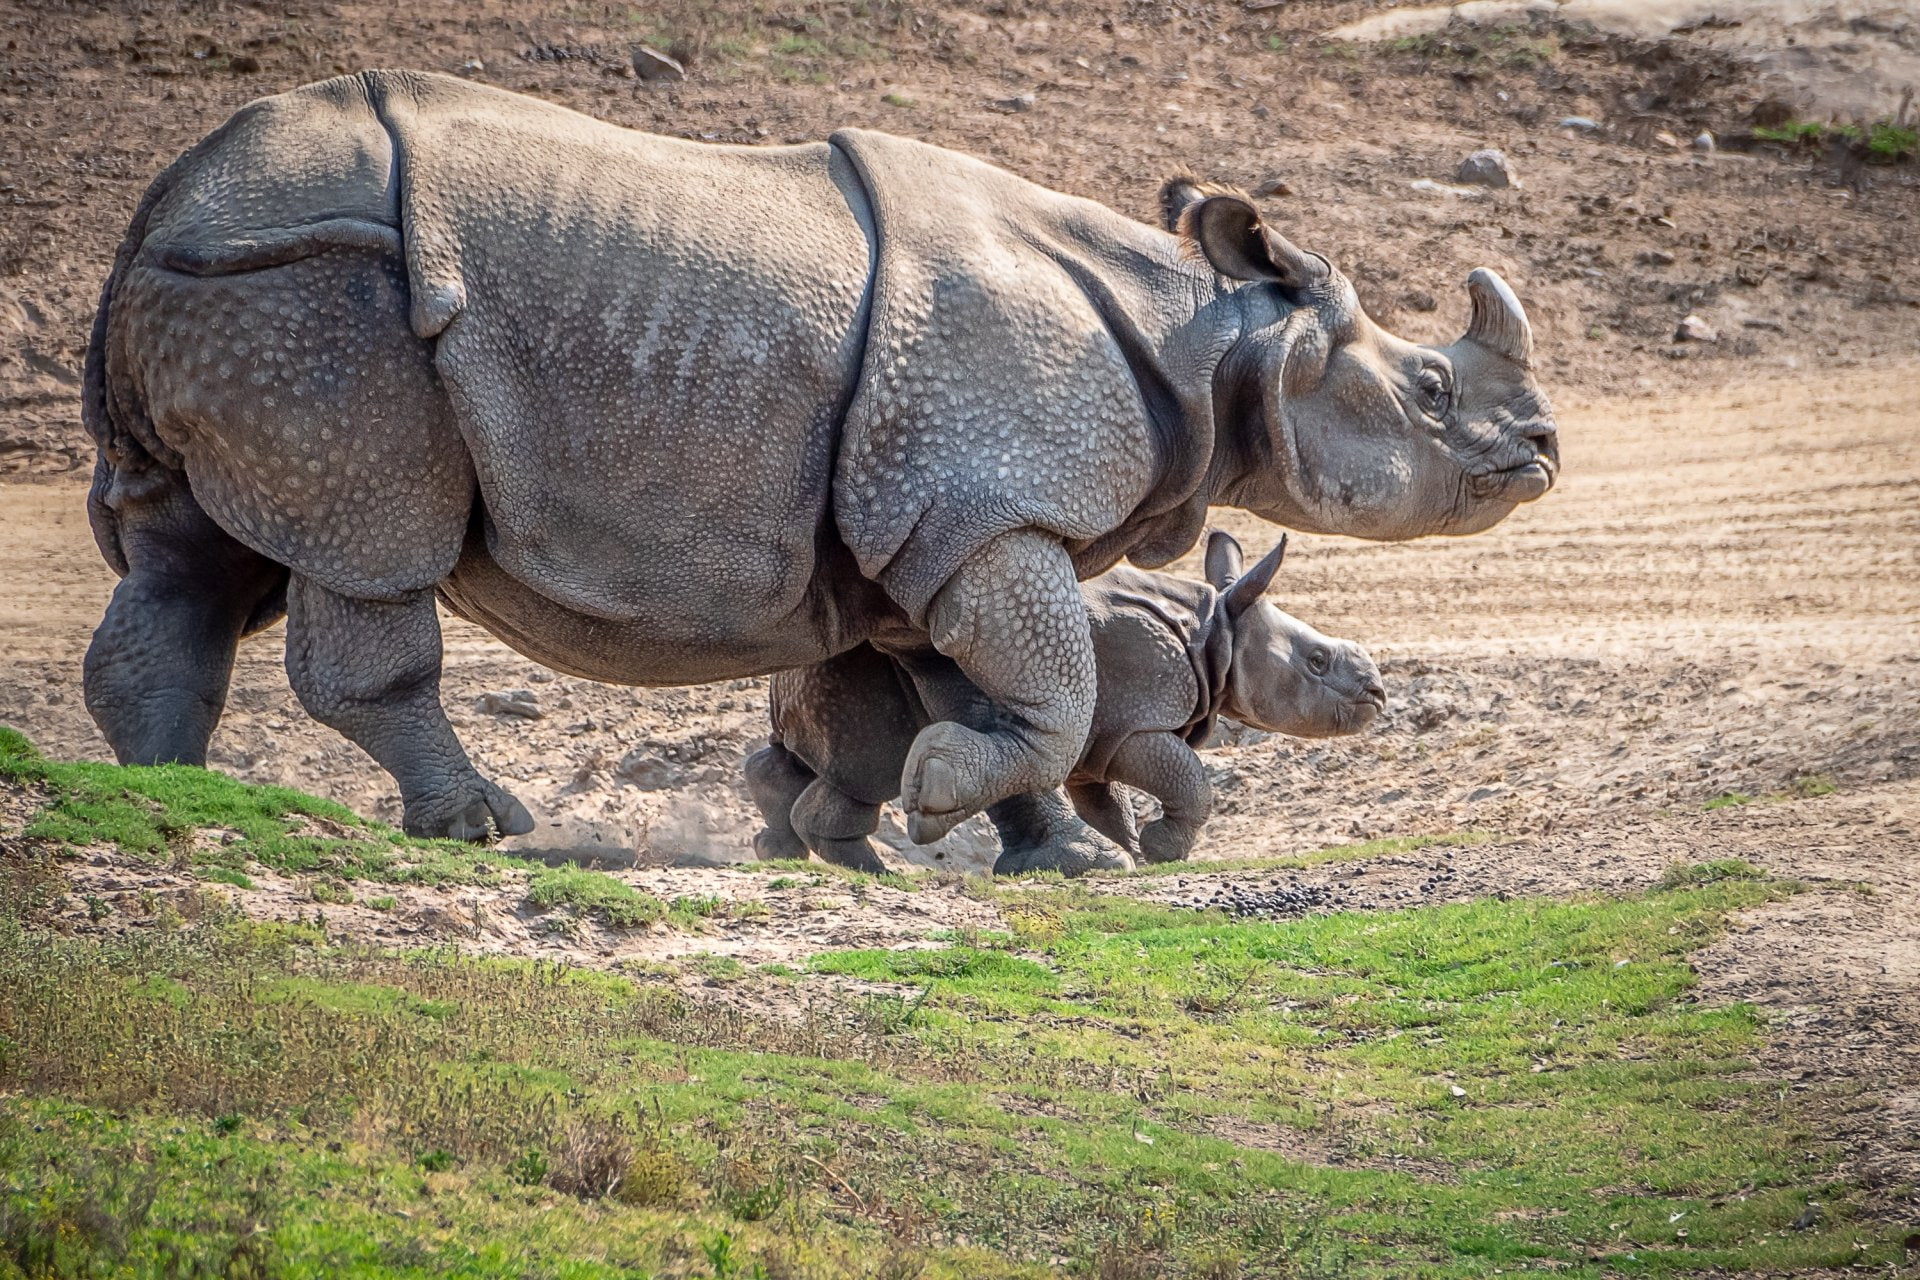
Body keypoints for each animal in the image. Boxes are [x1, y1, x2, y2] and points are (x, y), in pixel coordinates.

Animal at [748, 530, 1384, 872]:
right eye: (1317, 662)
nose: (1376, 692)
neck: (1218, 630)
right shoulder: (1137, 725)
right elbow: (1189, 779)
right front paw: (1159, 850)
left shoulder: (1103, 740)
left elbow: (1108, 800)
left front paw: (1133, 855)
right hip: (863, 679)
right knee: (870, 769)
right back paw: (874, 872)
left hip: (835, 672)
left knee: (833, 768)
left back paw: (808, 856)